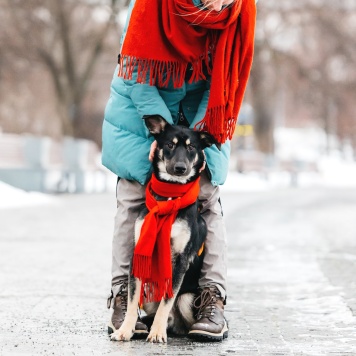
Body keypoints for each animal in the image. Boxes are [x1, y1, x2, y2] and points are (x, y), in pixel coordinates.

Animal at [111, 116, 221, 342]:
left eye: (191, 148)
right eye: (170, 144)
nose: (180, 168)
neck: (169, 198)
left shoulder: (180, 259)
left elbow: (167, 298)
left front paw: (157, 333)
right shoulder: (138, 254)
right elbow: (132, 299)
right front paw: (125, 330)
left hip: (187, 298)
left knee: (179, 316)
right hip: (150, 294)